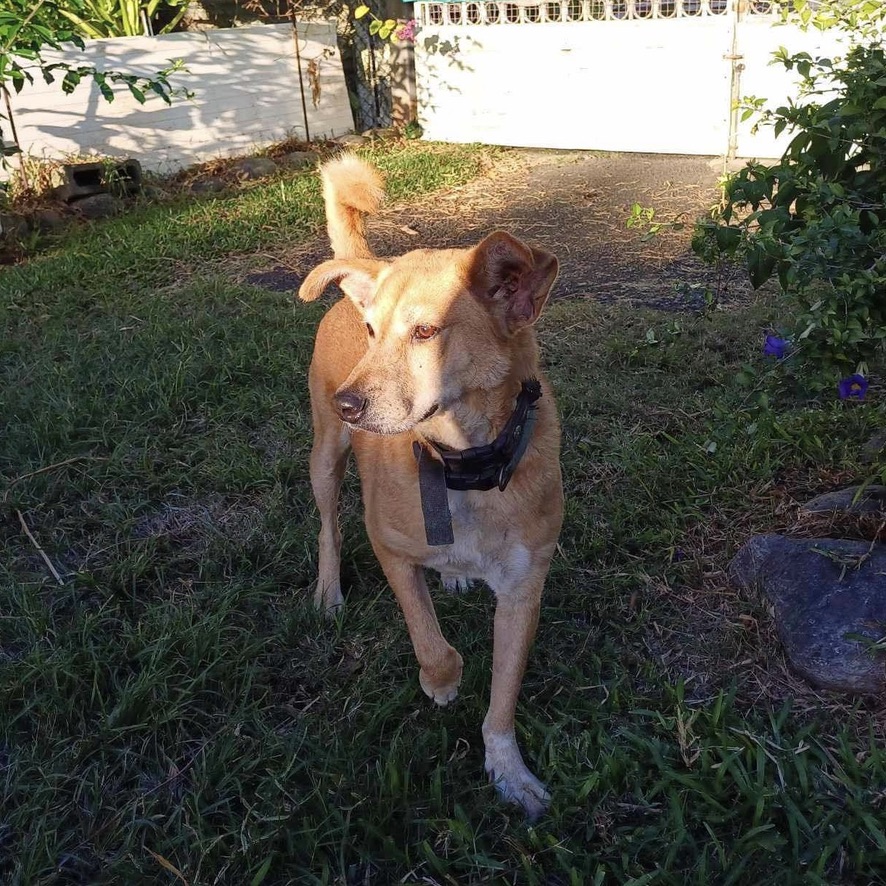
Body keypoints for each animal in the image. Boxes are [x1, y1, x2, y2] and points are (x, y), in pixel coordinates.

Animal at [298, 153, 560, 820]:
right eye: (372, 331)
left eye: (425, 333)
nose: (348, 404)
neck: (460, 465)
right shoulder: (389, 547)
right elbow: (429, 639)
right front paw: (442, 682)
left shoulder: (525, 591)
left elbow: (502, 702)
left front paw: (508, 772)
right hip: (324, 458)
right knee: (327, 527)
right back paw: (329, 589)